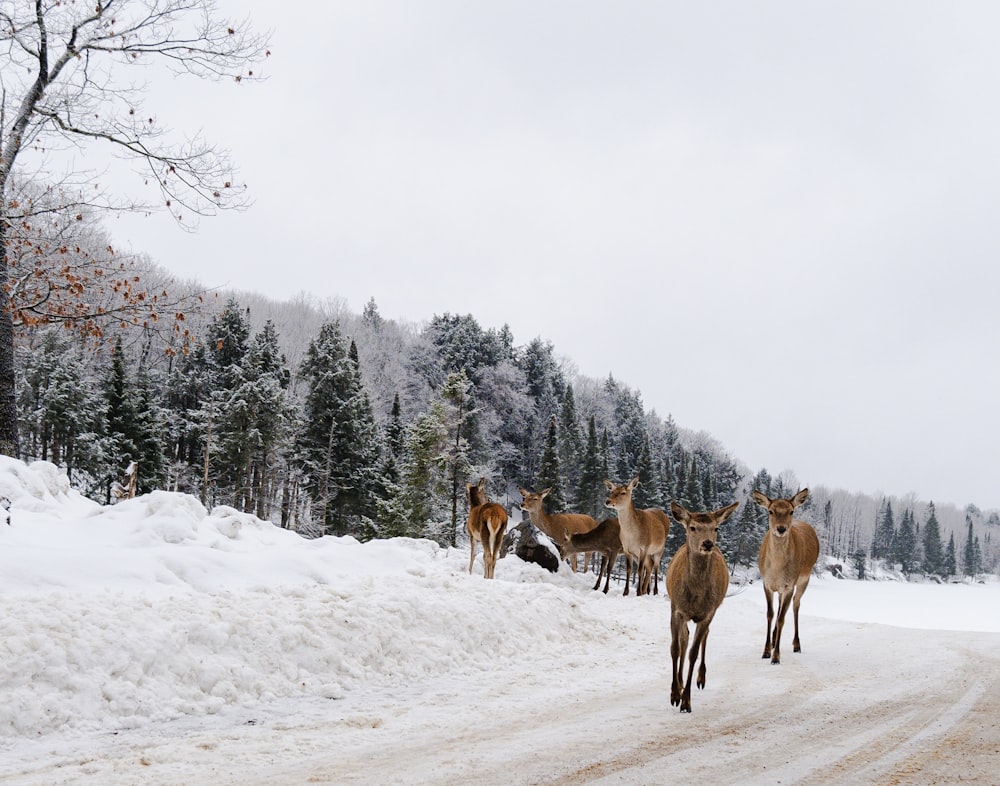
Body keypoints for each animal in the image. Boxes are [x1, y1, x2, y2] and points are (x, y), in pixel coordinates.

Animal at [668, 502, 740, 712]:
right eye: (693, 527)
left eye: (716, 528)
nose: (708, 543)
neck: (695, 595)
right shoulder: (677, 609)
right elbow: (675, 648)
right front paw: (674, 694)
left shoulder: (708, 613)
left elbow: (693, 652)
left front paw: (686, 701)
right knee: (684, 639)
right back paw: (680, 683)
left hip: (711, 611)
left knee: (703, 637)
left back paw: (700, 678)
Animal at [752, 490, 820, 660]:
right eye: (770, 511)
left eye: (791, 511)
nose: (781, 529)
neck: (776, 569)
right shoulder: (766, 583)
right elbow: (770, 614)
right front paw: (766, 651)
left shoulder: (789, 585)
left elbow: (782, 618)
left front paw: (776, 657)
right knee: (780, 606)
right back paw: (774, 639)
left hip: (804, 579)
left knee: (795, 605)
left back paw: (796, 644)